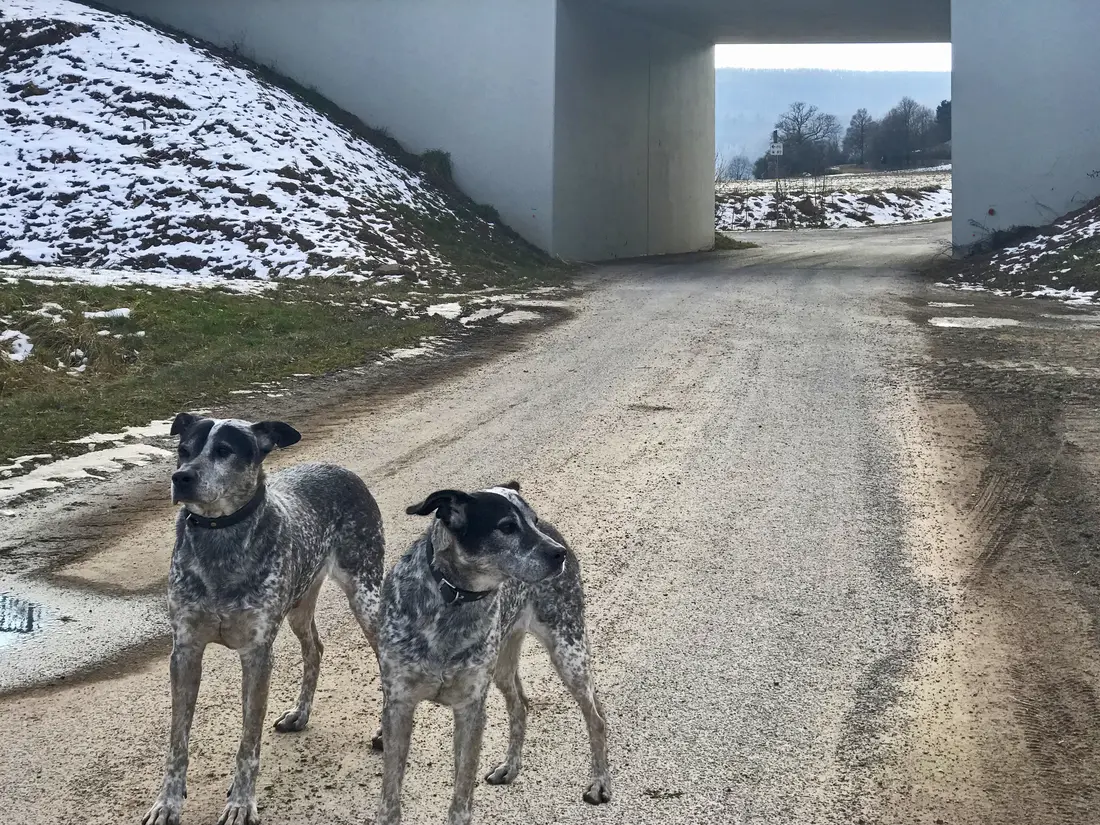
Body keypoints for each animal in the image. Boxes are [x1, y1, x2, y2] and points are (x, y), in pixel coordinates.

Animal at [144, 415, 387, 825]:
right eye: (183, 450)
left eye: (224, 450)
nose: (181, 478)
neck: (220, 540)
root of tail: (340, 469)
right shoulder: (186, 651)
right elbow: (177, 742)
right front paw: (168, 802)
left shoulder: (257, 655)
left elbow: (248, 744)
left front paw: (241, 803)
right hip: (301, 603)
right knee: (314, 648)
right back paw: (300, 714)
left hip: (365, 594)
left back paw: (387, 730)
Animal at [374, 484, 607, 825]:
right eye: (507, 526)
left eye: (533, 520)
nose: (558, 553)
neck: (453, 601)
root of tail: (556, 531)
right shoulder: (399, 706)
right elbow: (390, 795)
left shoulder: (470, 710)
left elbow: (461, 794)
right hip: (503, 663)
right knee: (520, 706)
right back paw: (510, 767)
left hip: (568, 652)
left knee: (596, 717)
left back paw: (601, 783)